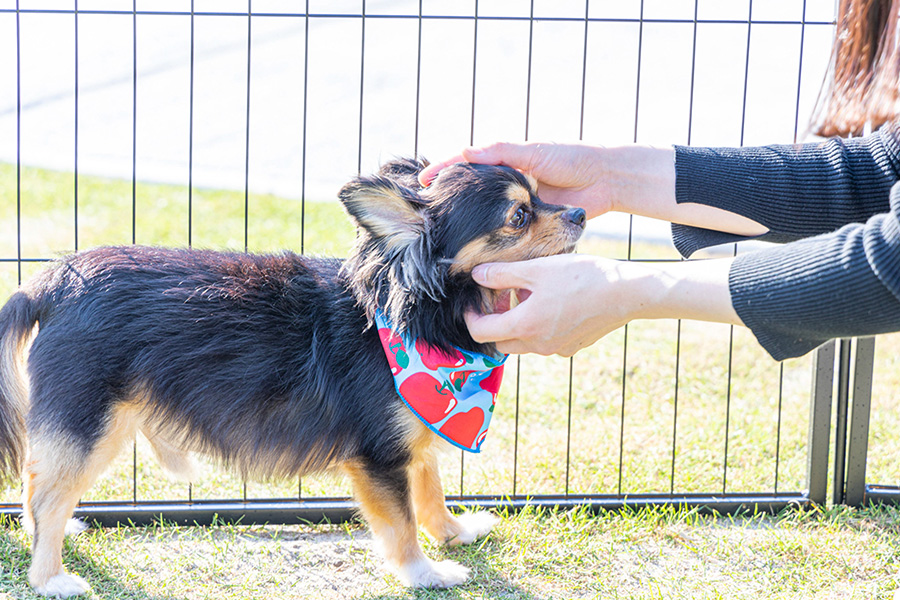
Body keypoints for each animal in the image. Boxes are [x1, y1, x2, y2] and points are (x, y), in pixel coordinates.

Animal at [0, 158, 588, 596]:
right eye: (519, 215)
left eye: (543, 195)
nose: (581, 211)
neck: (420, 316)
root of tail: (51, 281)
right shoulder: (378, 456)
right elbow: (400, 522)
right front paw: (426, 573)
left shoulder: (414, 435)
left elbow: (430, 489)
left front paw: (455, 532)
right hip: (92, 425)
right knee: (46, 494)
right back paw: (50, 577)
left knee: (37, 486)